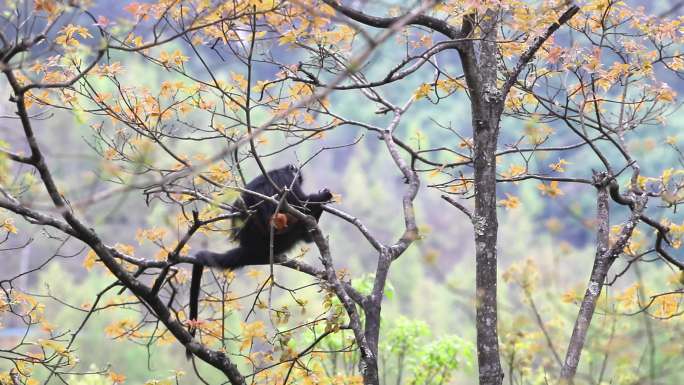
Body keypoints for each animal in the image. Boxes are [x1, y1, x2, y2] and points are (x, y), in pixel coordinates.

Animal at [188, 165, 332, 342]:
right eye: (297, 177)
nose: (299, 177)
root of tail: (250, 245)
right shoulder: (286, 181)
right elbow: (301, 204)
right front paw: (322, 196)